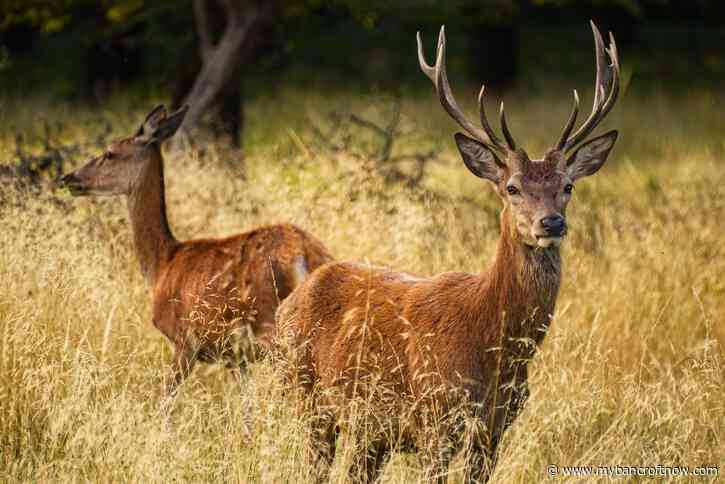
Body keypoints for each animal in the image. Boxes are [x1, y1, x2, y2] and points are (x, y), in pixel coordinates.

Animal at [57, 105, 333, 397]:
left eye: (109, 153)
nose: (67, 177)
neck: (162, 265)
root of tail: (303, 253)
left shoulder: (184, 340)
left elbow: (165, 398)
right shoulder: (235, 358)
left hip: (271, 325)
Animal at [275, 21, 620, 483]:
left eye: (568, 186)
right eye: (512, 188)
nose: (550, 223)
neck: (495, 349)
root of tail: (291, 299)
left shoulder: (496, 427)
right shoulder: (435, 418)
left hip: (369, 431)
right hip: (306, 396)